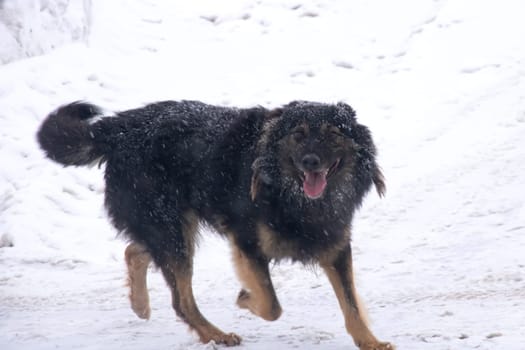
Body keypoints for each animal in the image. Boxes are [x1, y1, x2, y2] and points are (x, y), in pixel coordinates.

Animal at [36, 100, 392, 348]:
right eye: (299, 135)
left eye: (333, 134)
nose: (311, 162)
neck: (292, 195)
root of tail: (120, 127)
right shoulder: (247, 242)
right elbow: (271, 304)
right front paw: (245, 298)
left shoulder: (335, 246)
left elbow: (351, 305)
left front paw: (370, 342)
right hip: (172, 230)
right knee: (181, 300)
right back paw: (215, 335)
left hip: (173, 227)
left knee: (134, 251)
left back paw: (140, 305)